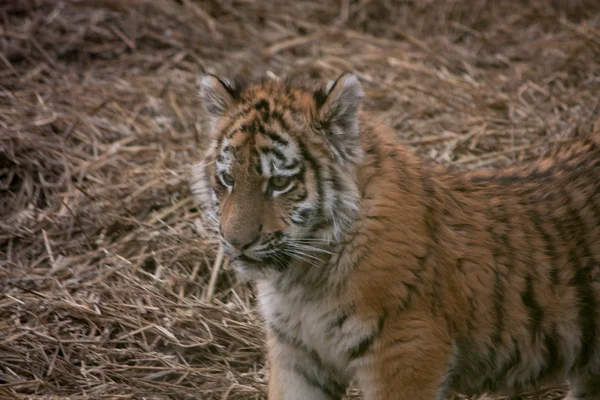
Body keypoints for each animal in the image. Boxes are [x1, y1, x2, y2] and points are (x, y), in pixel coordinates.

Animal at [192, 72, 600, 400]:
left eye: (279, 183)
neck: (303, 278)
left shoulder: (405, 353)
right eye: (228, 179)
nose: (236, 242)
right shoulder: (297, 355)